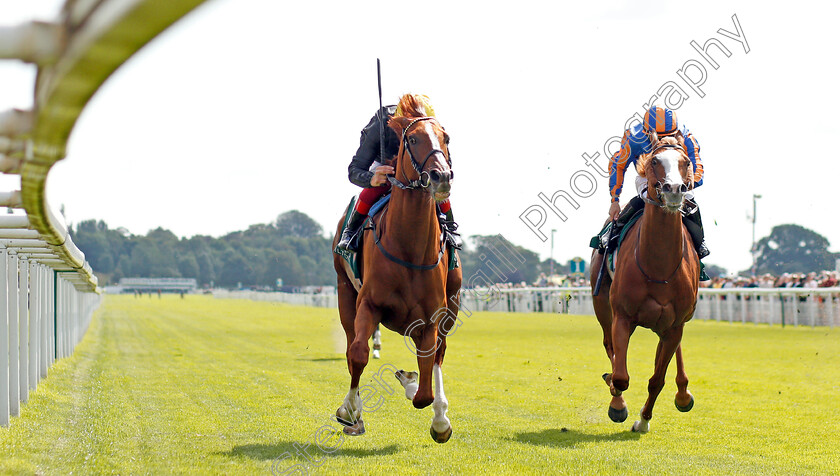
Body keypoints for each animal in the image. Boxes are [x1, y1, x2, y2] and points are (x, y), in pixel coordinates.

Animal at [332, 98, 462, 444]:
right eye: (413, 139)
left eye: (446, 138)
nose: (441, 176)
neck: (410, 248)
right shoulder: (367, 303)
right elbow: (358, 353)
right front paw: (350, 411)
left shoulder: (432, 316)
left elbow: (425, 388)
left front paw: (421, 394)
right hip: (344, 293)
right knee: (351, 346)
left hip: (453, 303)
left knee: (439, 355)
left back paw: (440, 417)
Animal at [592, 136, 704, 434]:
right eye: (654, 161)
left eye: (685, 162)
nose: (674, 189)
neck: (659, 267)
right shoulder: (622, 315)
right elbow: (620, 376)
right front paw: (618, 405)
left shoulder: (675, 325)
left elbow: (657, 379)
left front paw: (643, 420)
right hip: (602, 305)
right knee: (609, 345)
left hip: (669, 323)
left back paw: (683, 394)